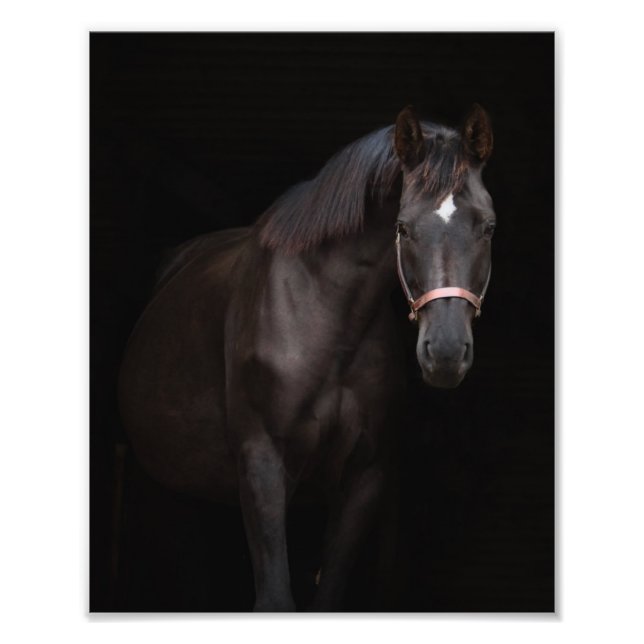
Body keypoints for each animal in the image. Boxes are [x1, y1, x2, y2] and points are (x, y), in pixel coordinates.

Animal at [118, 104, 496, 611]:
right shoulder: (263, 465)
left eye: (488, 226)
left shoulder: (365, 478)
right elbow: (275, 599)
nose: (447, 352)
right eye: (402, 227)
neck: (326, 313)